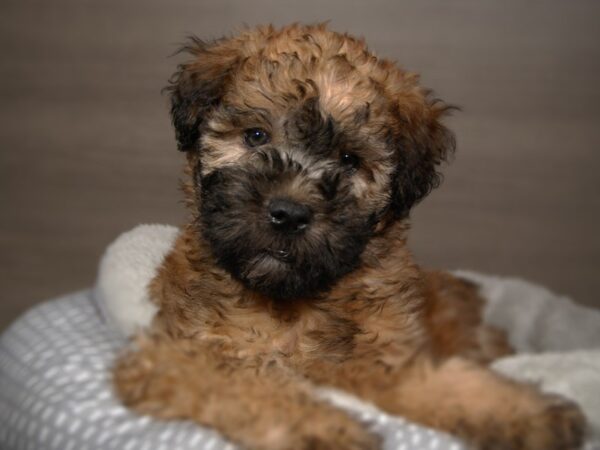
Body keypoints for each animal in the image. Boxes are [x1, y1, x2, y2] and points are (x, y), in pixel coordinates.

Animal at [113, 23, 584, 450]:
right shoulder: (181, 353)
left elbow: (437, 382)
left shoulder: (382, 360)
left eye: (348, 160)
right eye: (256, 136)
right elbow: (246, 382)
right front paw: (321, 428)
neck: (292, 303)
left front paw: (520, 411)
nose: (289, 215)